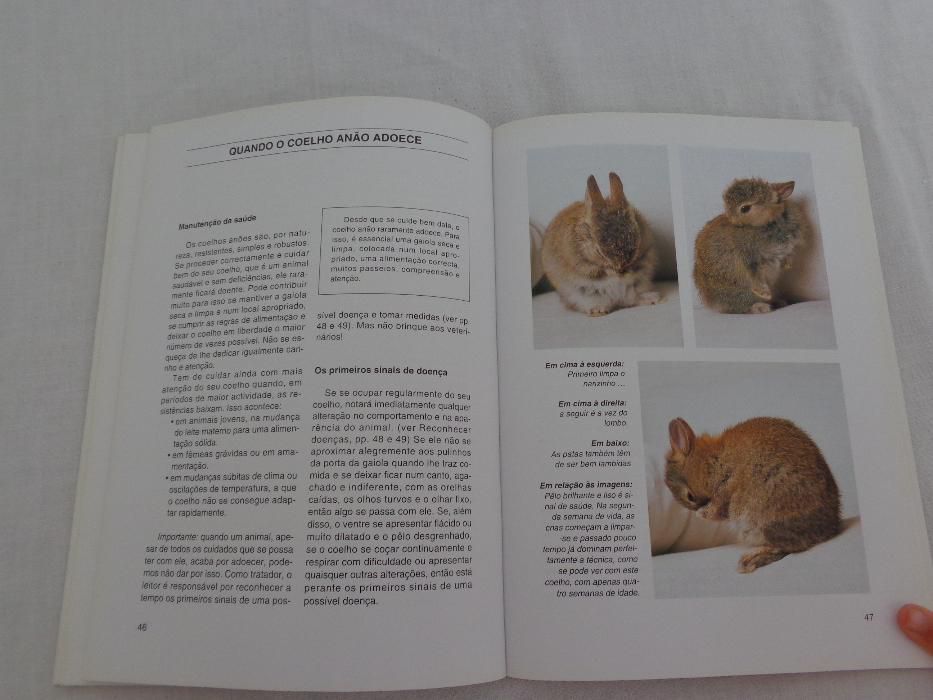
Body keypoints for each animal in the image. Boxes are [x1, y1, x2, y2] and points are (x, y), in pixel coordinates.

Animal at [541, 172, 659, 316]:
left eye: (637, 241)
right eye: (598, 251)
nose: (621, 270)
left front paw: (628, 271)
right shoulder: (583, 265)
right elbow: (598, 270)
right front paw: (613, 273)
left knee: (632, 300)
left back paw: (652, 299)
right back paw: (598, 310)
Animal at [665, 416, 841, 573]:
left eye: (690, 496)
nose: (696, 510)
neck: (712, 461)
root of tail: (829, 529)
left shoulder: (725, 489)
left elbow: (717, 508)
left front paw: (702, 513)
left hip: (765, 520)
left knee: (786, 547)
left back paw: (749, 560)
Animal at [693, 178, 806, 313]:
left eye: (745, 208)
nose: (731, 219)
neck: (770, 221)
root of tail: (711, 302)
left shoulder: (789, 247)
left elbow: (789, 254)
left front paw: (787, 265)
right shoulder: (749, 256)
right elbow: (754, 275)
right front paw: (764, 293)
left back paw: (777, 302)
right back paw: (761, 307)